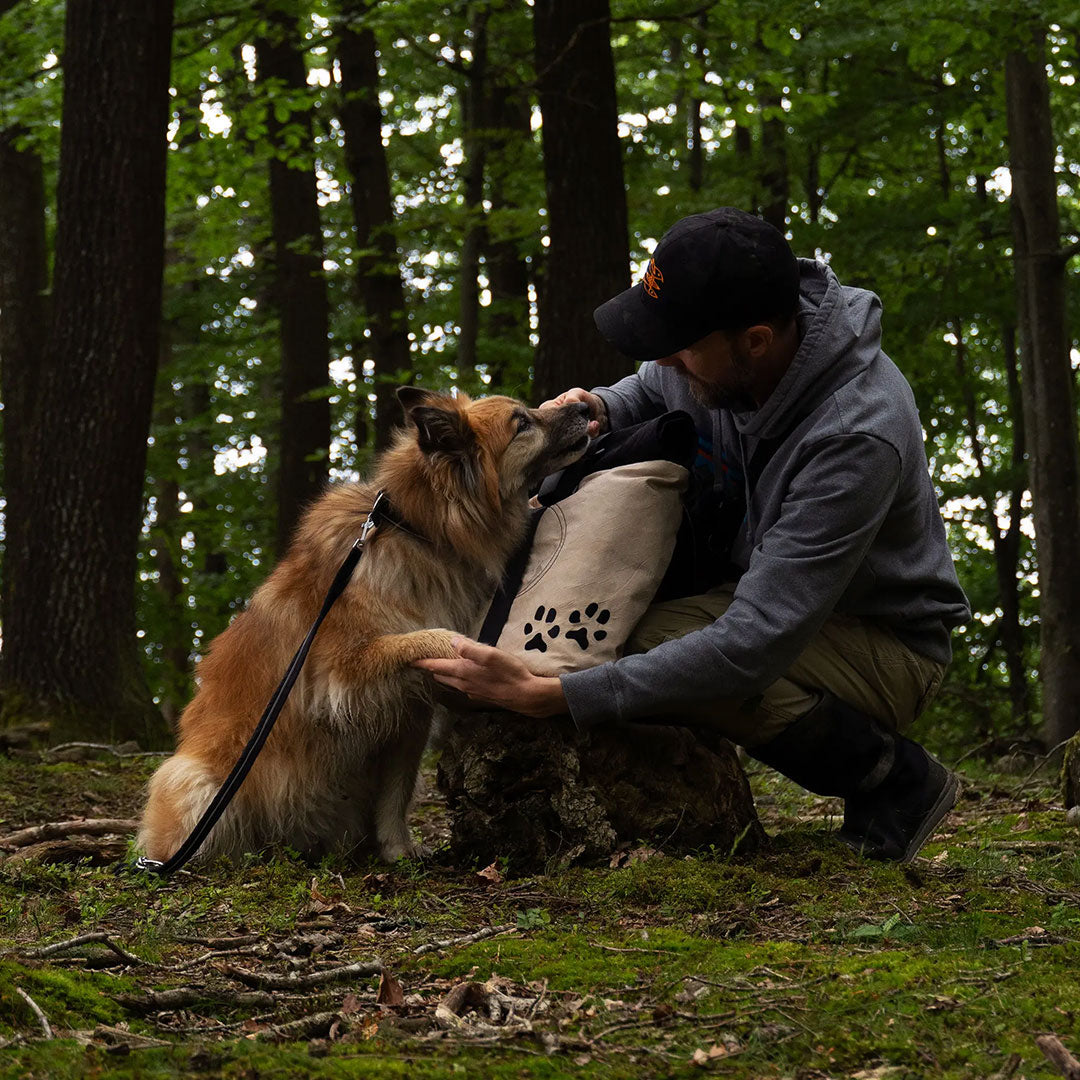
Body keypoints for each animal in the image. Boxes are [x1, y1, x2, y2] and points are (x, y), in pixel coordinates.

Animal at [138, 388, 591, 859]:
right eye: (522, 423)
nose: (584, 406)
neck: (417, 530)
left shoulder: (408, 716)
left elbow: (397, 791)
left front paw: (398, 851)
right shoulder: (341, 670)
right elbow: (430, 637)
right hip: (197, 781)